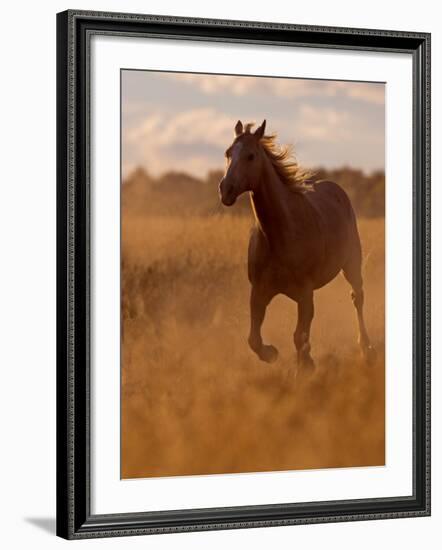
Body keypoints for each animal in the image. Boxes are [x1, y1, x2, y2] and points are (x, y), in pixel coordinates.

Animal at [218, 121, 372, 370]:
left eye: (251, 156)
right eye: (228, 153)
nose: (226, 190)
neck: (280, 234)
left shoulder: (305, 292)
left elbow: (300, 337)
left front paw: (306, 367)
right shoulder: (259, 291)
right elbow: (254, 338)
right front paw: (271, 353)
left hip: (352, 264)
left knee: (357, 298)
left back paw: (366, 349)